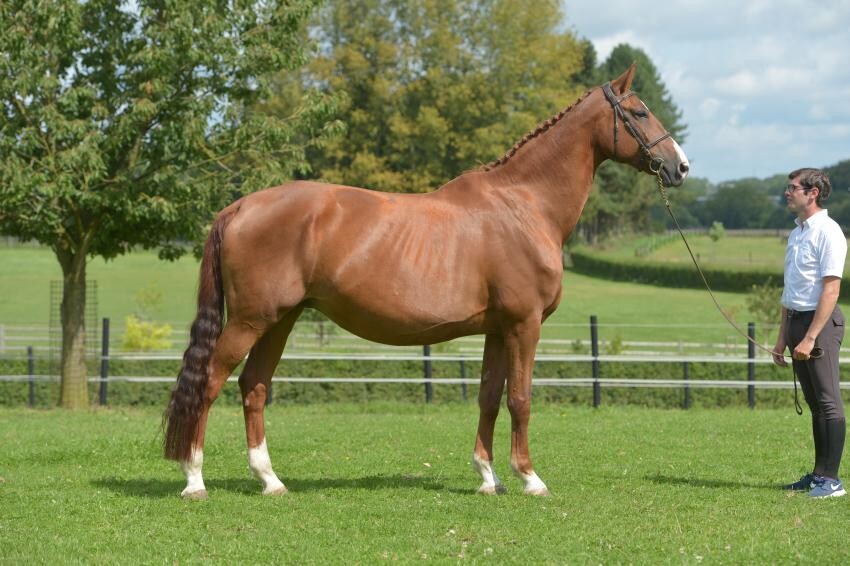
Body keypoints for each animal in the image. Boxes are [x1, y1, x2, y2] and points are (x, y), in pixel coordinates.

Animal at [163, 64, 690, 499]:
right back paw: (194, 480)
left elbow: (488, 397)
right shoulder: (525, 325)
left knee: (253, 386)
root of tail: (239, 206)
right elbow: (520, 399)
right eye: (640, 112)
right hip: (251, 320)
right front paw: (530, 478)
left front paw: (488, 478)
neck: (523, 204)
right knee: (210, 383)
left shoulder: (497, 329)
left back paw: (270, 480)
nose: (680, 166)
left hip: (280, 320)